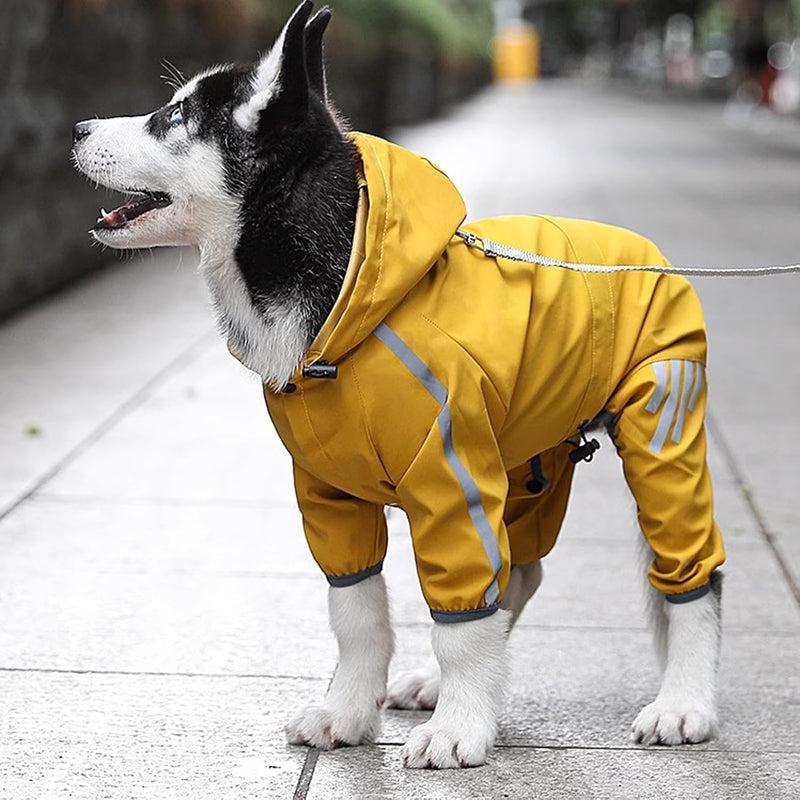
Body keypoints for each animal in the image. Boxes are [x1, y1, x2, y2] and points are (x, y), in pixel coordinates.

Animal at [73, 0, 724, 768]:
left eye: (173, 115)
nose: (76, 130)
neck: (346, 293)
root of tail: (647, 253)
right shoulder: (330, 493)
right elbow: (357, 612)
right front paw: (351, 712)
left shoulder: (451, 478)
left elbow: (459, 615)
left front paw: (460, 728)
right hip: (526, 460)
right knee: (520, 572)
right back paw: (445, 685)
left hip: (661, 431)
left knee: (689, 574)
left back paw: (684, 702)